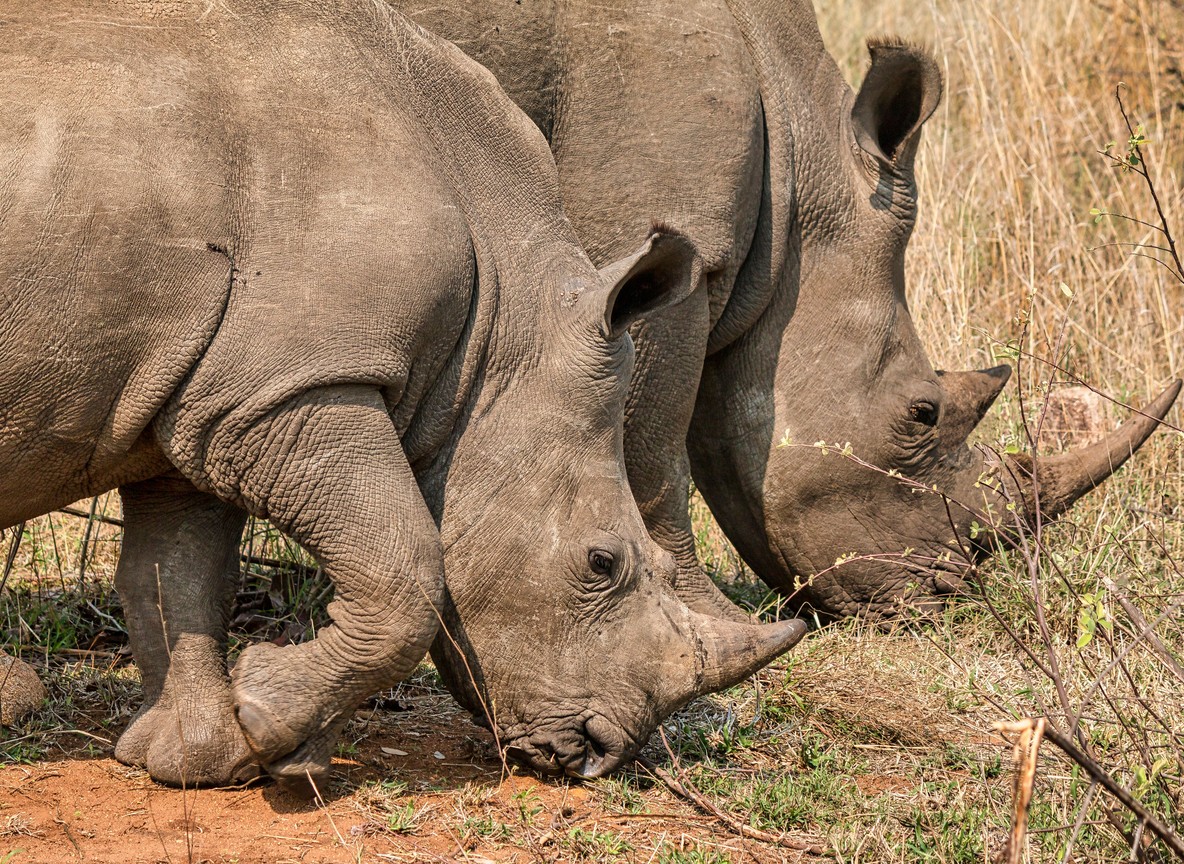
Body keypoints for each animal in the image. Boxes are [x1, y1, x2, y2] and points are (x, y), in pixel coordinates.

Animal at [0, 0, 804, 788]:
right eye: (600, 563)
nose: (597, 752)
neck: (502, 332)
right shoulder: (295, 386)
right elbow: (407, 566)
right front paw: (268, 726)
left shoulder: (210, 393)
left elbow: (179, 575)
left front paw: (204, 757)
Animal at [395, 0, 1180, 620]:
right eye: (922, 413)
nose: (946, 595)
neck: (800, 155)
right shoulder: (656, 235)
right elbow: (648, 446)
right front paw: (703, 615)